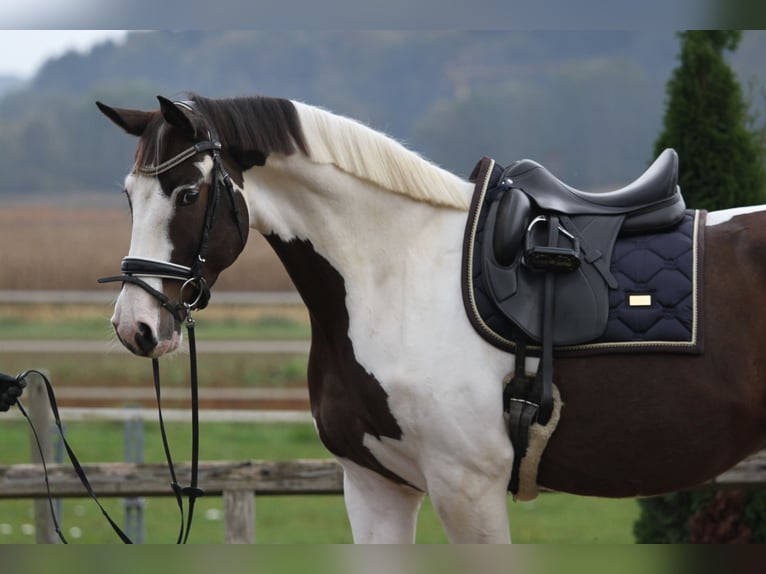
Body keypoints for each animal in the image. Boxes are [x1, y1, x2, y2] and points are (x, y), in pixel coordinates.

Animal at [96, 93, 766, 543]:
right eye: (129, 195)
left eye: (187, 193)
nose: (136, 326)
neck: (397, 270)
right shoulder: (375, 488)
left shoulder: (467, 490)